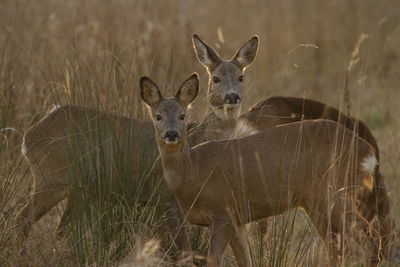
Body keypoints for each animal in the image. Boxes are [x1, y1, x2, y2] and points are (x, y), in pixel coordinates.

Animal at [141, 72, 388, 266]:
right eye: (157, 116)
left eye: (183, 115)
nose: (171, 134)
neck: (194, 171)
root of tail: (366, 151)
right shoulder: (237, 219)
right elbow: (245, 260)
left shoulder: (223, 212)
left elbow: (213, 260)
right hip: (317, 202)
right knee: (341, 246)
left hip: (334, 194)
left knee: (368, 241)